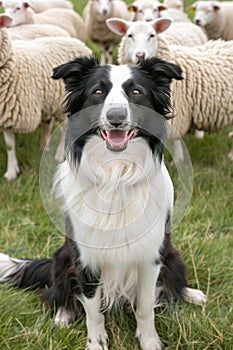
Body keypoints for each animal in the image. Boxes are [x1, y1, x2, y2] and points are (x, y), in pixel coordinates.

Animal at [0, 26, 92, 182]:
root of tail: (79, 43)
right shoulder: (7, 115)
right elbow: (10, 145)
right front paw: (11, 172)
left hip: (61, 104)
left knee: (64, 129)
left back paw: (60, 155)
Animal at [0, 57, 207, 350]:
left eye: (136, 92)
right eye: (97, 92)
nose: (116, 118)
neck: (115, 175)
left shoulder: (151, 256)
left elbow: (145, 306)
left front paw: (150, 341)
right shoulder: (86, 259)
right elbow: (93, 311)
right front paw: (96, 343)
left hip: (171, 254)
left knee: (174, 279)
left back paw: (191, 293)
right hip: (63, 256)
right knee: (59, 290)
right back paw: (63, 314)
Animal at [108, 16, 233, 160]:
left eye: (152, 35)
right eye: (129, 35)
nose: (140, 55)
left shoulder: (178, 113)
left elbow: (176, 141)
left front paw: (178, 159)